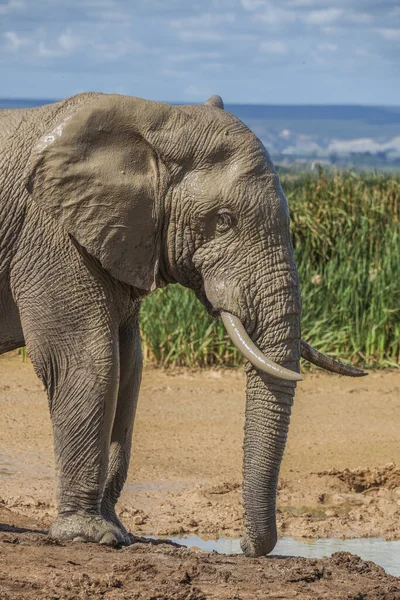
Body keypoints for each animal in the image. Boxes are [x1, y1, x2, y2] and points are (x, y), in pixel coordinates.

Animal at [0, 91, 366, 556]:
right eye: (224, 220)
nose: (245, 547)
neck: (156, 118)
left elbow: (130, 365)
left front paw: (118, 531)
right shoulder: (50, 235)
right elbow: (87, 360)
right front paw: (92, 536)